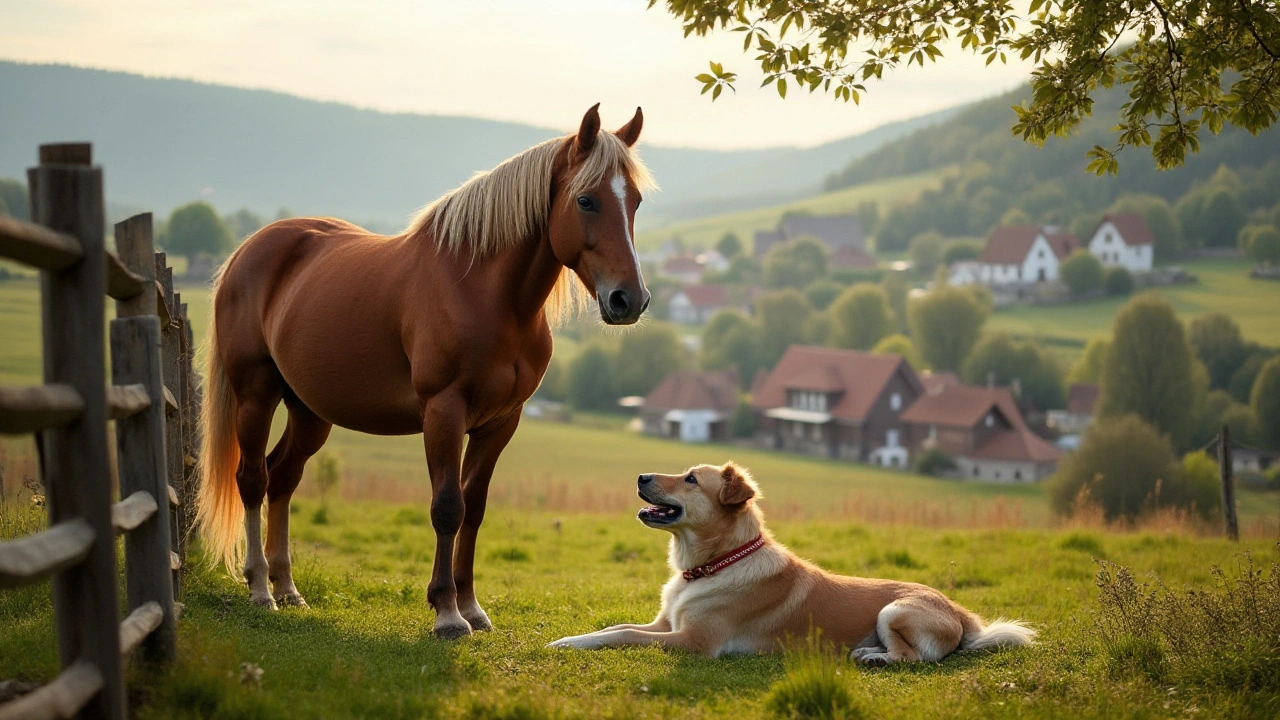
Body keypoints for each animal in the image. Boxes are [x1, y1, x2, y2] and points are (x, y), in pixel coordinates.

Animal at [197, 105, 660, 632]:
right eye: (586, 200)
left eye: (636, 202)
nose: (629, 300)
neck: (485, 294)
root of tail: (249, 249)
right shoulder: (444, 411)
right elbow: (447, 507)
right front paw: (447, 612)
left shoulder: (500, 422)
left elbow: (474, 508)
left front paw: (472, 606)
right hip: (256, 395)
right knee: (253, 480)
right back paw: (260, 588)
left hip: (310, 412)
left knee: (282, 479)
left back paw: (288, 589)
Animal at [545, 461, 1034, 661]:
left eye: (690, 479)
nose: (641, 476)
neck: (715, 564)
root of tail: (963, 614)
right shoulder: (667, 624)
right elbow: (614, 628)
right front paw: (571, 639)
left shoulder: (694, 642)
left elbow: (624, 635)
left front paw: (569, 645)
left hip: (894, 608)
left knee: (913, 657)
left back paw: (877, 658)